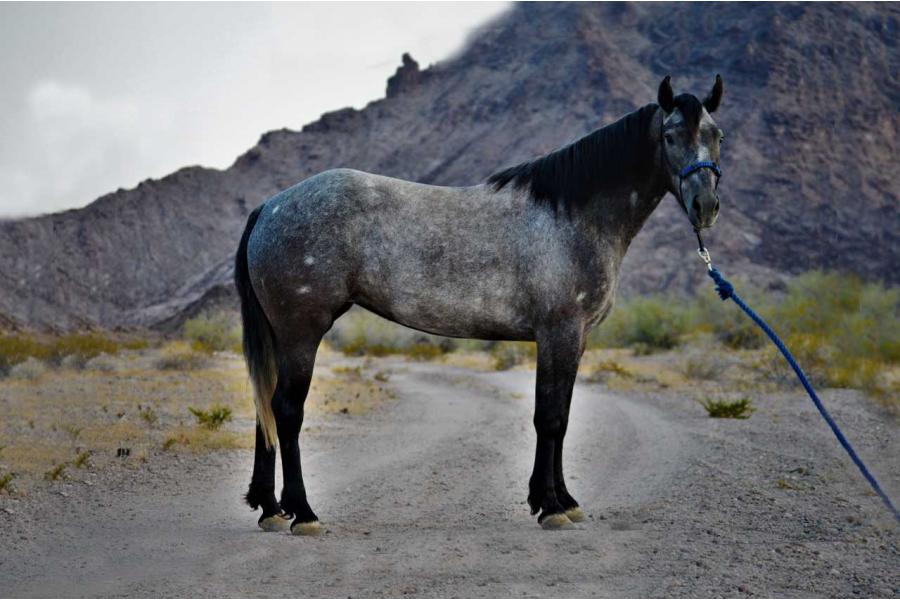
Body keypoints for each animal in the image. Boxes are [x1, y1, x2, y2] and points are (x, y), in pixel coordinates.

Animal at [235, 75, 725, 534]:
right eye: (670, 135)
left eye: (717, 134)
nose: (705, 206)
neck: (571, 217)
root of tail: (271, 206)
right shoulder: (558, 333)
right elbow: (549, 418)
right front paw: (551, 507)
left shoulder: (576, 339)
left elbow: (563, 416)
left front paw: (561, 500)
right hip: (302, 332)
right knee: (286, 411)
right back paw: (302, 513)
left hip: (282, 335)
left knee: (267, 407)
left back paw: (270, 509)